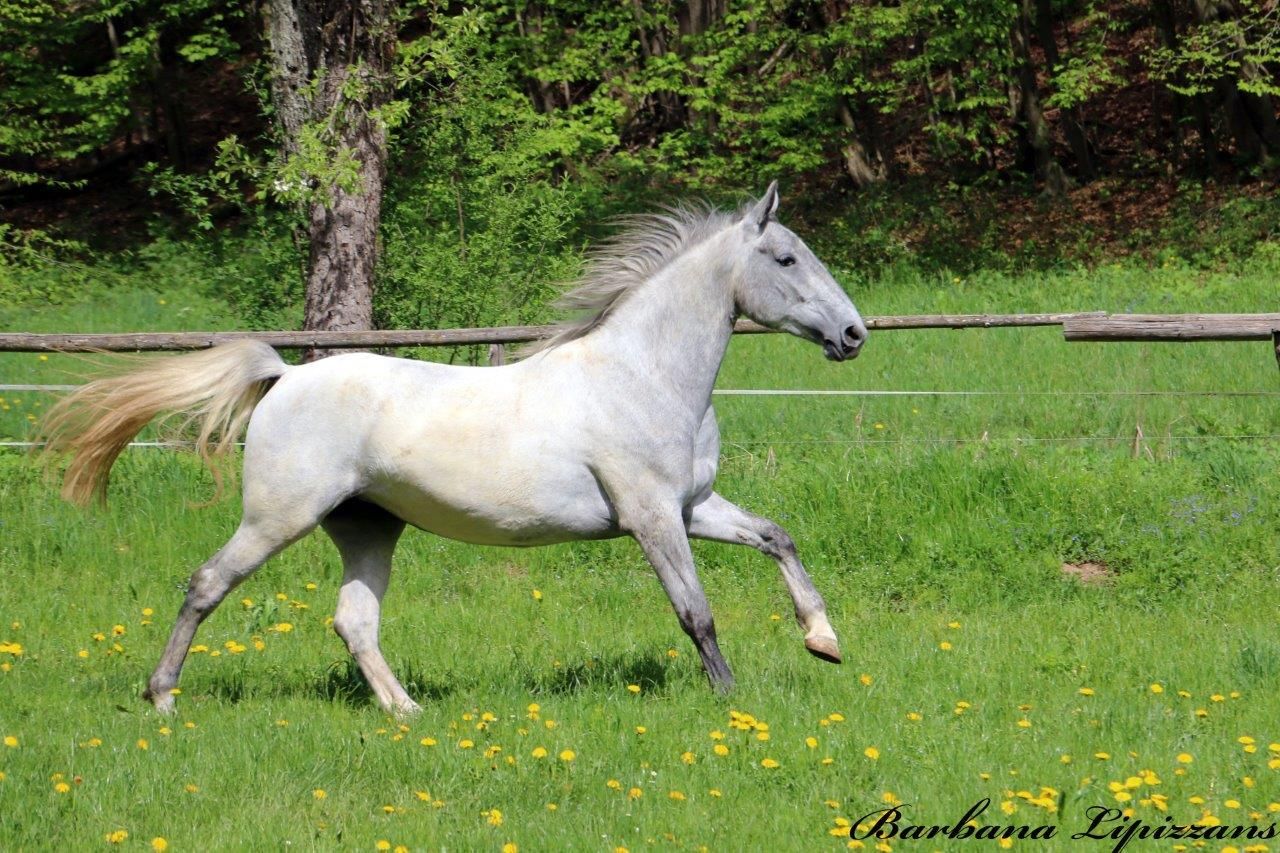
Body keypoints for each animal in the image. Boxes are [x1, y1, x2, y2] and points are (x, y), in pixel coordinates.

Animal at [39, 182, 867, 715]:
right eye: (786, 259)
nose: (855, 334)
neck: (643, 374)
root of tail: (284, 378)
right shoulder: (653, 516)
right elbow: (696, 611)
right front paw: (730, 698)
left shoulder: (694, 505)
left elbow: (777, 537)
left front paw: (824, 641)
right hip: (278, 516)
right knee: (207, 583)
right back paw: (162, 697)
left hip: (367, 526)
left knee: (353, 621)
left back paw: (407, 710)